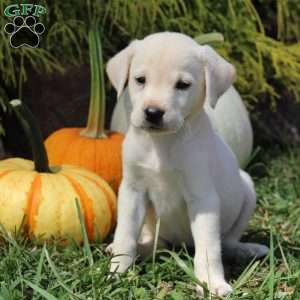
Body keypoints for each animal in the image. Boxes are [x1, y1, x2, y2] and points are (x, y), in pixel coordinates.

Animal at [105, 32, 268, 296]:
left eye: (183, 84)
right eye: (140, 80)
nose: (153, 112)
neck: (162, 144)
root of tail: (181, 244)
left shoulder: (203, 199)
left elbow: (209, 248)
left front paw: (211, 283)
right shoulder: (133, 191)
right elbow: (125, 236)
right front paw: (117, 271)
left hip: (248, 189)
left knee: (226, 242)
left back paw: (245, 249)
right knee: (157, 243)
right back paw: (141, 248)